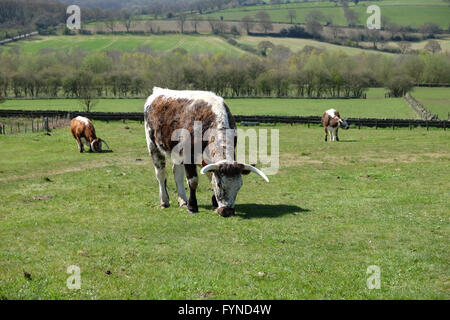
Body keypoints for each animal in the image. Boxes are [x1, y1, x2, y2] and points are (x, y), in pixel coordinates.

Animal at [144, 87, 268, 218]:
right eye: (220, 185)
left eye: (239, 186)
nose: (227, 211)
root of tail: (158, 91)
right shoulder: (188, 156)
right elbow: (193, 181)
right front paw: (192, 207)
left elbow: (211, 176)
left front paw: (214, 204)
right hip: (153, 147)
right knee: (161, 174)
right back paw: (164, 201)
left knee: (177, 174)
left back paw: (183, 201)